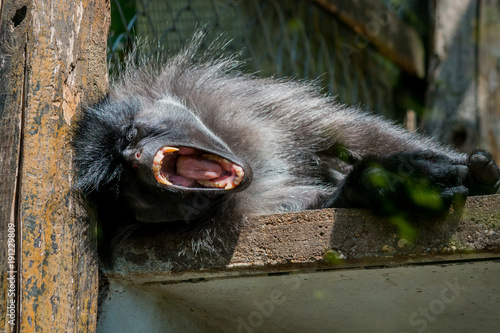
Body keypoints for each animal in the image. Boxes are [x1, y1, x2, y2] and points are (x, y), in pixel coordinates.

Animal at [71, 35, 500, 254]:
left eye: (131, 136)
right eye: (123, 183)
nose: (134, 157)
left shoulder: (251, 101)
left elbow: (348, 134)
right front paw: (383, 185)